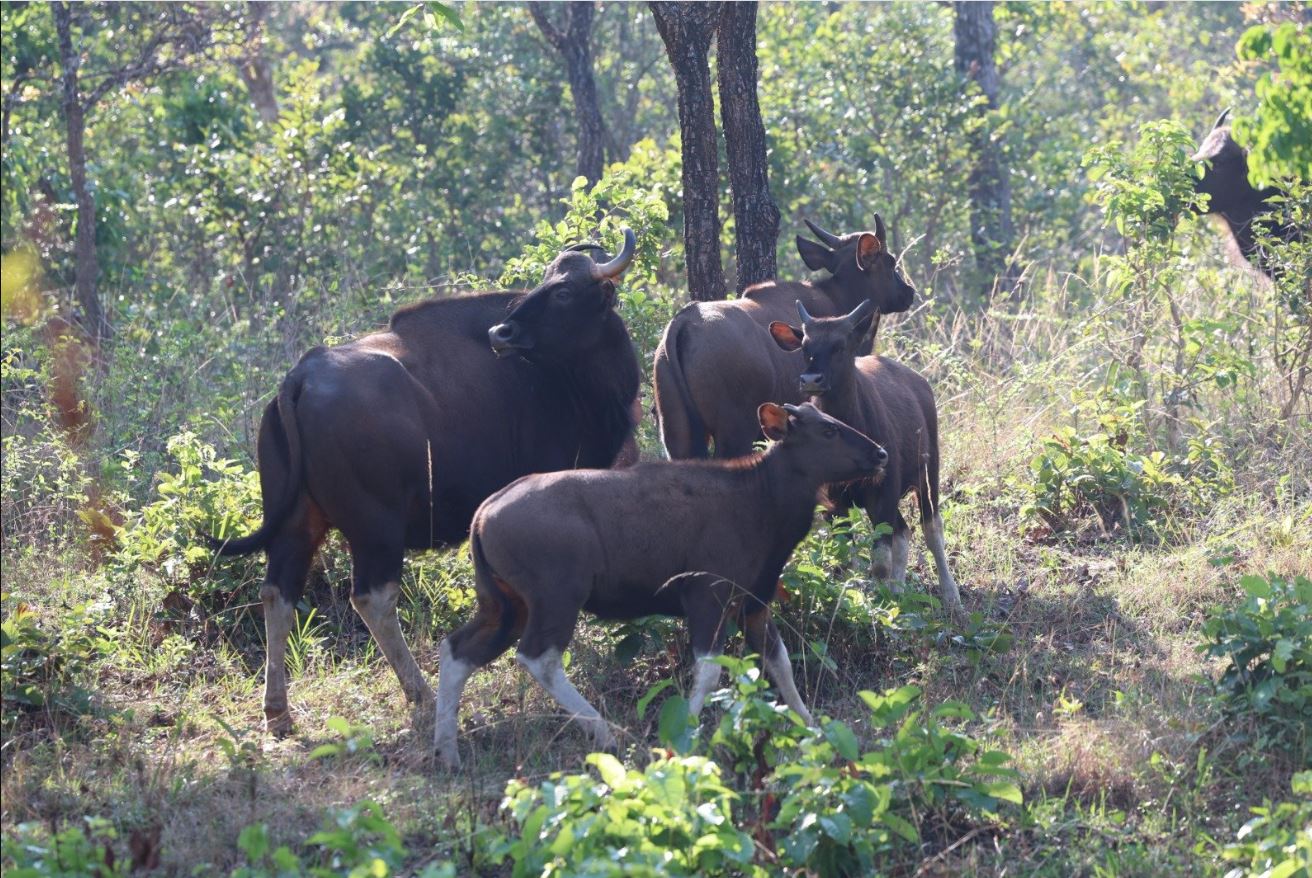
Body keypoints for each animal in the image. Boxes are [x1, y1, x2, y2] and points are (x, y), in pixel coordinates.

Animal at [435, 401, 886, 761]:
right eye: (828, 430)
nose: (880, 452)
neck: (761, 501)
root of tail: (483, 514)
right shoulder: (706, 597)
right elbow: (709, 673)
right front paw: (684, 740)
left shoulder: (753, 603)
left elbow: (780, 663)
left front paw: (810, 725)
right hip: (557, 595)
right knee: (538, 657)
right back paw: (607, 734)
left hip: (504, 605)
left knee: (457, 650)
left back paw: (448, 753)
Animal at [766, 301, 965, 622]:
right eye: (806, 346)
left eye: (840, 345)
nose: (811, 380)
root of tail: (920, 383)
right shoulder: (835, 501)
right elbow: (849, 557)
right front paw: (862, 598)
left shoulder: (883, 491)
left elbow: (880, 561)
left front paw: (879, 605)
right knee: (903, 532)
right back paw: (898, 589)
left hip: (928, 472)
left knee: (931, 528)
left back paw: (950, 596)